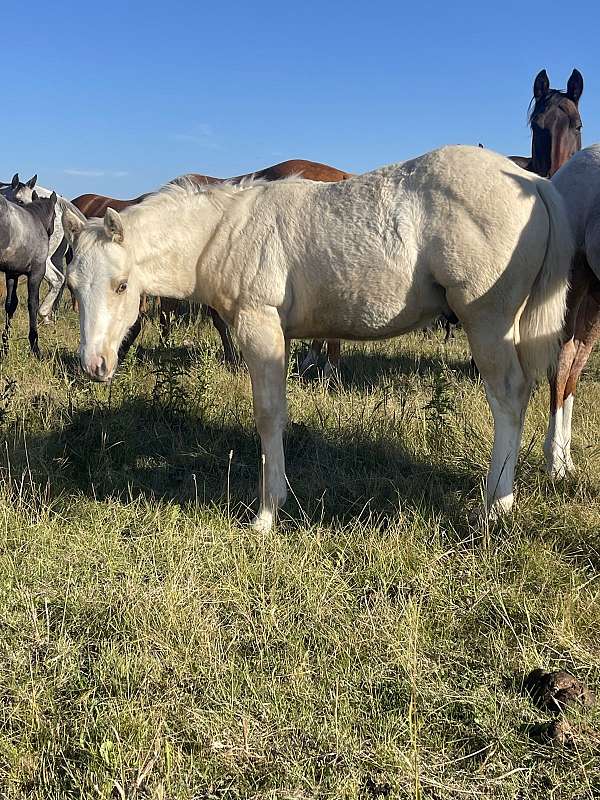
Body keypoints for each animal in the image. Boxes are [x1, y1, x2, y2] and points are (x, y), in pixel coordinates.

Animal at [0, 192, 56, 354]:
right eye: (55, 215)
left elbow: (10, 305)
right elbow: (33, 303)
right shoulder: (37, 273)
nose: (51, 230)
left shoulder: (12, 274)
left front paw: (5, 345)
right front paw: (35, 345)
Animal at [63, 145, 576, 532]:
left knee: (508, 397)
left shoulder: (259, 329)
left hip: (487, 319)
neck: (224, 232)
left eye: (121, 285)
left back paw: (495, 506)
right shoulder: (281, 337)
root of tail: (531, 181)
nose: (94, 365)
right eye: (71, 286)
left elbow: (268, 416)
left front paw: (267, 513)